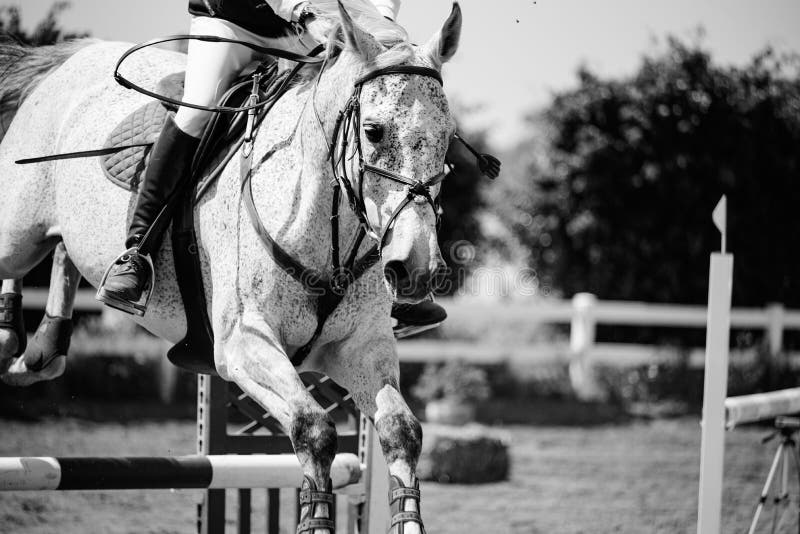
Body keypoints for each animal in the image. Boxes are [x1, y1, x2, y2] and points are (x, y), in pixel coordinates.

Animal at [0, 1, 463, 532]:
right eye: (373, 131)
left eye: (447, 139)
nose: (417, 268)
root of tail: (74, 58)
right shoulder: (243, 344)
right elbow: (315, 430)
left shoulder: (360, 347)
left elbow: (400, 429)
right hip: (17, 231)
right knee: (17, 255)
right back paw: (12, 336)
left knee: (63, 251)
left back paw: (42, 347)